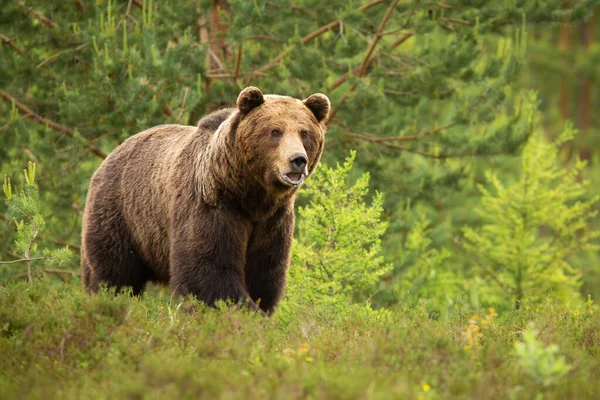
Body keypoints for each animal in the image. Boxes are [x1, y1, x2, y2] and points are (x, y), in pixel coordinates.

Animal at [81, 86, 328, 312]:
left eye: (304, 132)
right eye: (275, 131)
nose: (298, 160)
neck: (250, 196)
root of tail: (112, 153)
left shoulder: (272, 221)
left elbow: (264, 274)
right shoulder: (212, 207)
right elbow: (208, 270)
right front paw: (244, 311)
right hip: (122, 214)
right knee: (114, 272)